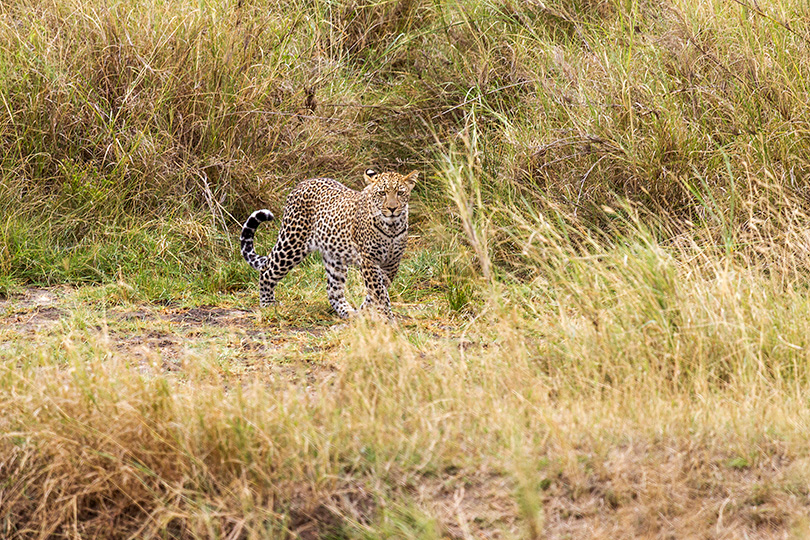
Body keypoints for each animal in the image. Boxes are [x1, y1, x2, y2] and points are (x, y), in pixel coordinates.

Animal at [238, 169, 416, 318]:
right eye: (382, 193)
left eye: (400, 193)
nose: (392, 208)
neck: (392, 227)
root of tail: (301, 184)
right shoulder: (368, 260)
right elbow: (379, 290)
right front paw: (387, 317)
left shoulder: (393, 262)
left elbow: (380, 288)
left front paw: (365, 310)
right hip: (292, 243)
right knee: (267, 271)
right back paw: (267, 304)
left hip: (334, 257)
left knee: (333, 289)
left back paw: (347, 312)